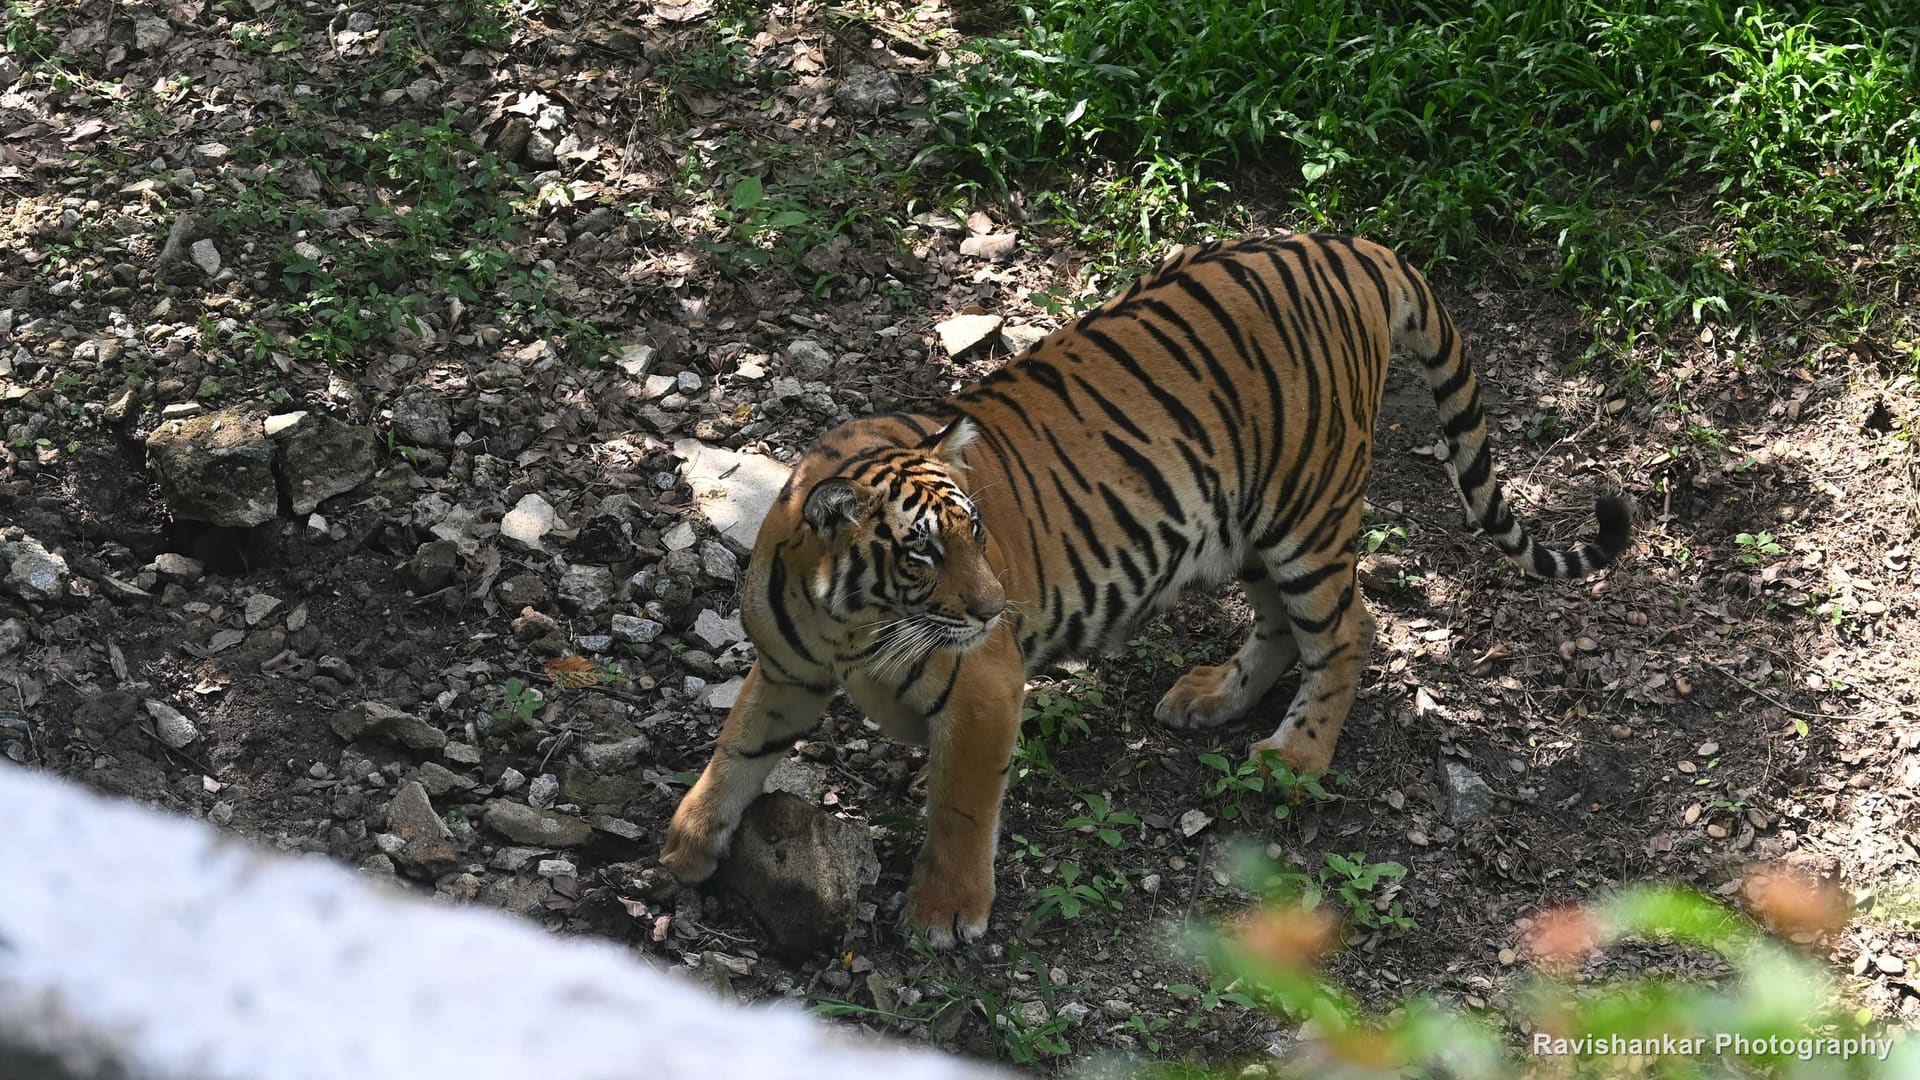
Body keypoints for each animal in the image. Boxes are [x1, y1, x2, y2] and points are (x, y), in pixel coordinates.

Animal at [661, 232, 1630, 948]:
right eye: (923, 555)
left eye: (977, 532)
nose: (993, 610)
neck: (850, 621)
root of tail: (1344, 242)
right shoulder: (787, 670)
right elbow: (738, 748)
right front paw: (689, 844)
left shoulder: (983, 687)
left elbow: (962, 805)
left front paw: (944, 912)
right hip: (1244, 518)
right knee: (1281, 623)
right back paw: (1212, 700)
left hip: (1307, 510)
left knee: (1348, 628)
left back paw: (1294, 758)